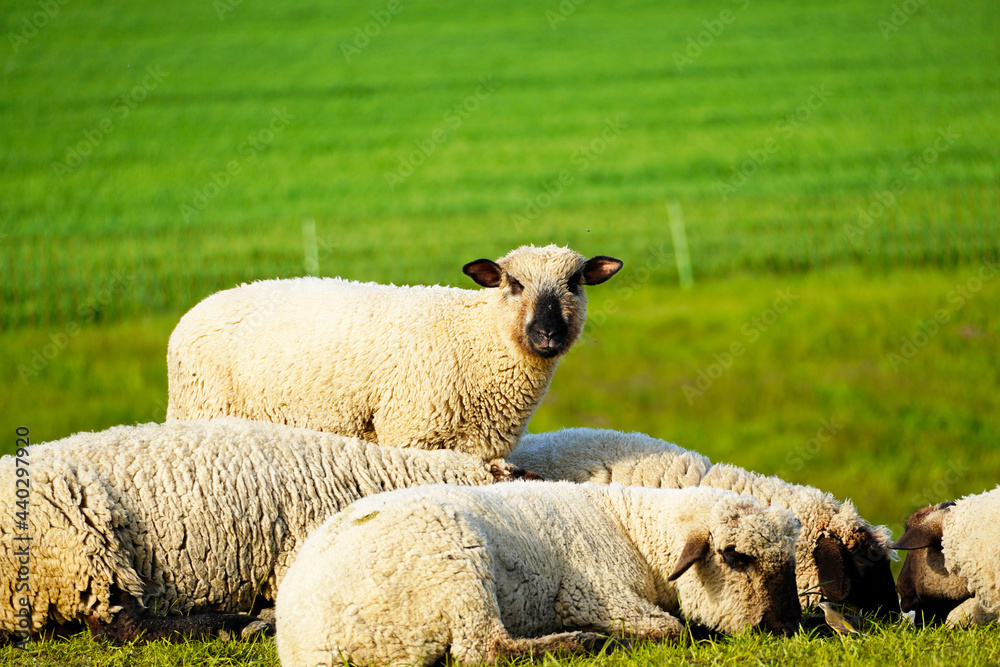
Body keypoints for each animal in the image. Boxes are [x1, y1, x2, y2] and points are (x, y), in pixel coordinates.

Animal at [166, 245, 623, 463]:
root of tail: (192, 313)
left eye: (575, 284)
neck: (478, 336)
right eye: (513, 284)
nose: (547, 334)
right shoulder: (410, 432)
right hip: (201, 409)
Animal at [275, 481, 802, 667]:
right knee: (484, 650)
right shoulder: (596, 593)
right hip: (454, 568)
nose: (787, 627)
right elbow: (670, 631)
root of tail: (302, 643)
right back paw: (582, 643)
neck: (633, 528)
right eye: (735, 557)